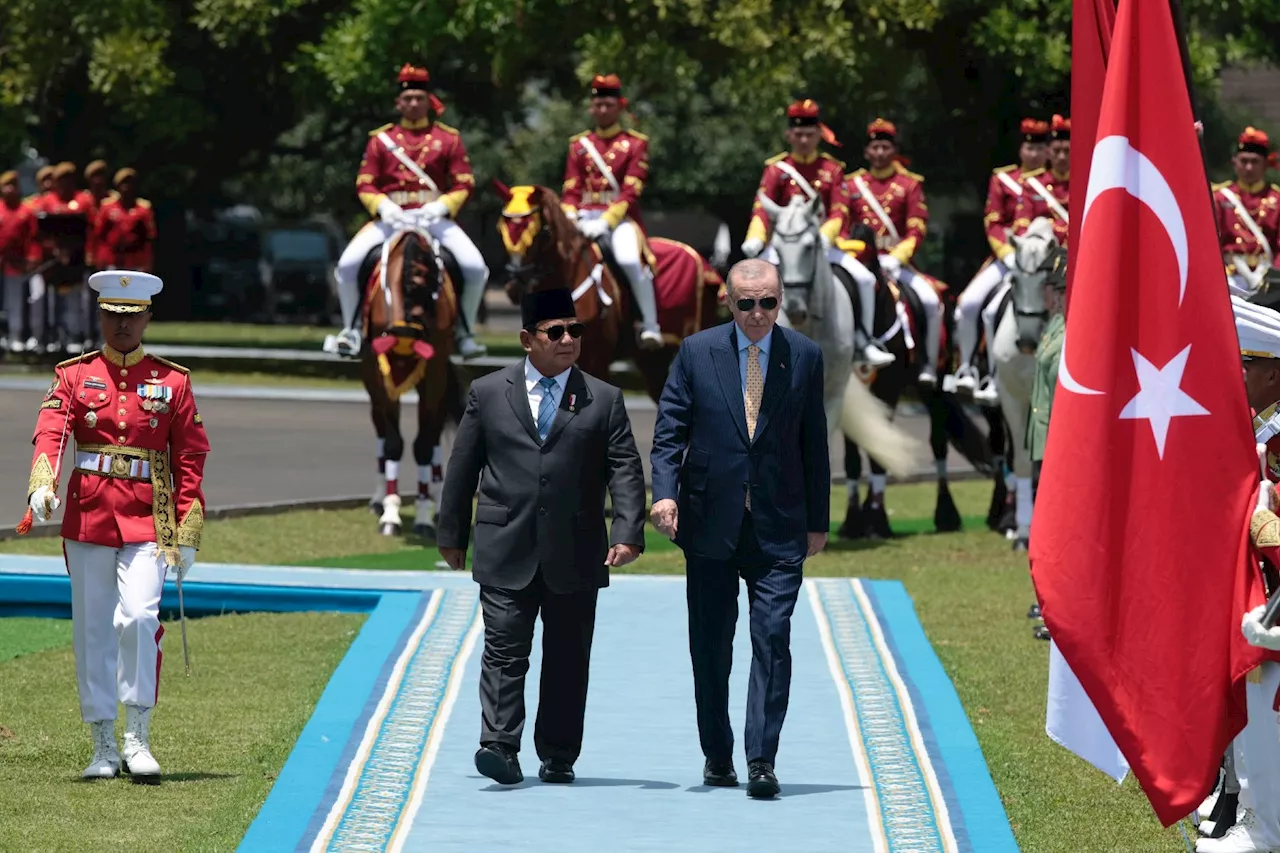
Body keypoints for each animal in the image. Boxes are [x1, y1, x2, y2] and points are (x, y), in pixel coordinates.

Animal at [358, 222, 463, 535]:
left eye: (434, 297)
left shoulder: (435, 374)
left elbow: (424, 446)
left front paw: (424, 515)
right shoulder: (381, 375)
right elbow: (393, 443)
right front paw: (390, 514)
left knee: (435, 436)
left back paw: (438, 503)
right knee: (382, 433)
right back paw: (378, 499)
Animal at [491, 180, 727, 399]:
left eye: (539, 231)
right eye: (502, 229)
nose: (514, 286)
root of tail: (702, 260)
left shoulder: (597, 359)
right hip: (652, 361)